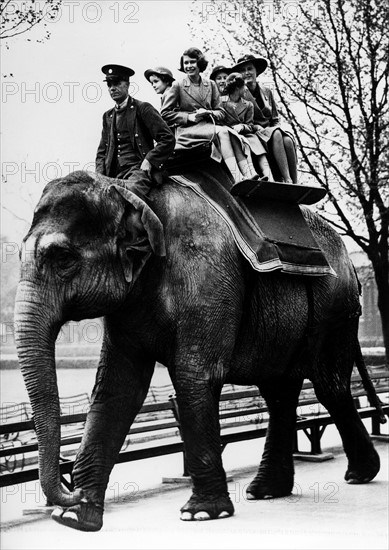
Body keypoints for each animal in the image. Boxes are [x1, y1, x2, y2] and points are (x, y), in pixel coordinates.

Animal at [14, 170, 378, 532]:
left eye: (63, 258)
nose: (69, 486)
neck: (135, 196)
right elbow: (117, 387)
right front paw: (75, 518)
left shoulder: (207, 276)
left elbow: (194, 375)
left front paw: (200, 513)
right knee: (280, 391)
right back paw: (265, 490)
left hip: (336, 306)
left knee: (328, 386)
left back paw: (359, 475)